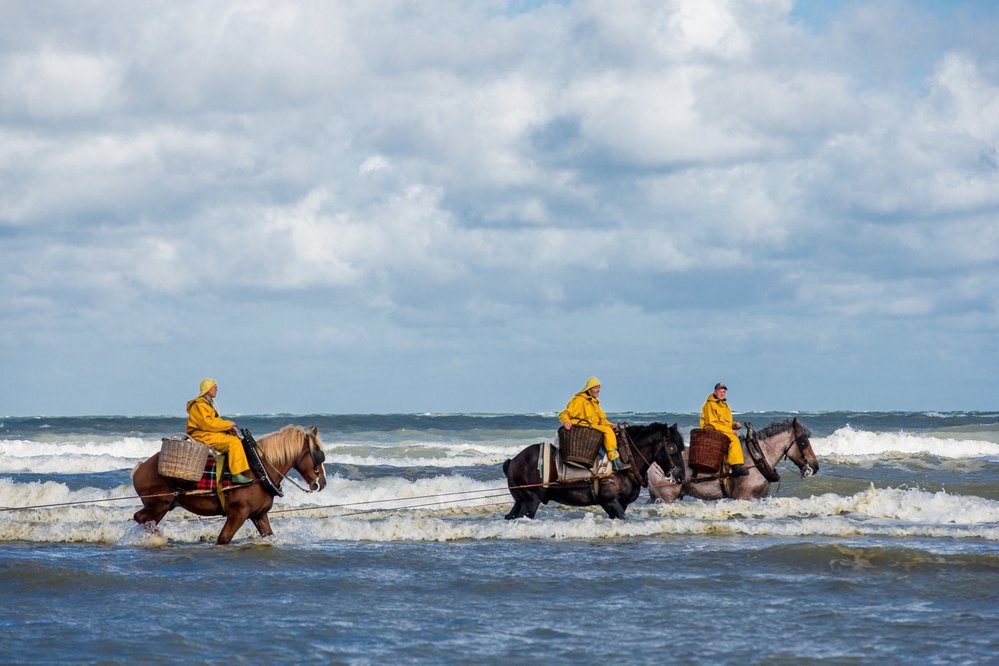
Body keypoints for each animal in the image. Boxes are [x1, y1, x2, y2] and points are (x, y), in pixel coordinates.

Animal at [132, 422, 328, 544]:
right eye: (318, 453)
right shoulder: (238, 513)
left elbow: (268, 534)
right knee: (142, 519)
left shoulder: (259, 514)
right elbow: (223, 539)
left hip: (163, 506)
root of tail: (141, 467)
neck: (259, 468)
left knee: (144, 521)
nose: (323, 483)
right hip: (159, 505)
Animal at [500, 420, 688, 520]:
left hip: (520, 501)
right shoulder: (611, 502)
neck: (626, 461)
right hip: (530, 501)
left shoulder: (621, 504)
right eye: (673, 448)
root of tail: (512, 462)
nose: (681, 476)